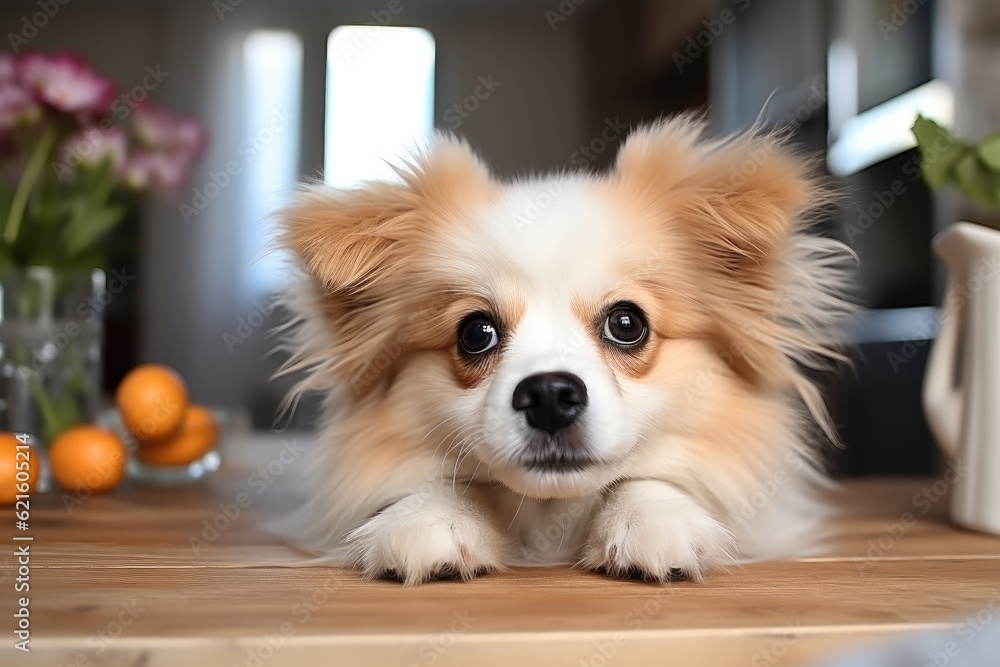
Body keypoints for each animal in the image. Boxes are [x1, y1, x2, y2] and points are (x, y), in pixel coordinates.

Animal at [274, 117, 852, 588]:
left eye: (626, 323)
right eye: (475, 333)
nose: (549, 393)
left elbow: (644, 477)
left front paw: (651, 519)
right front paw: (429, 516)